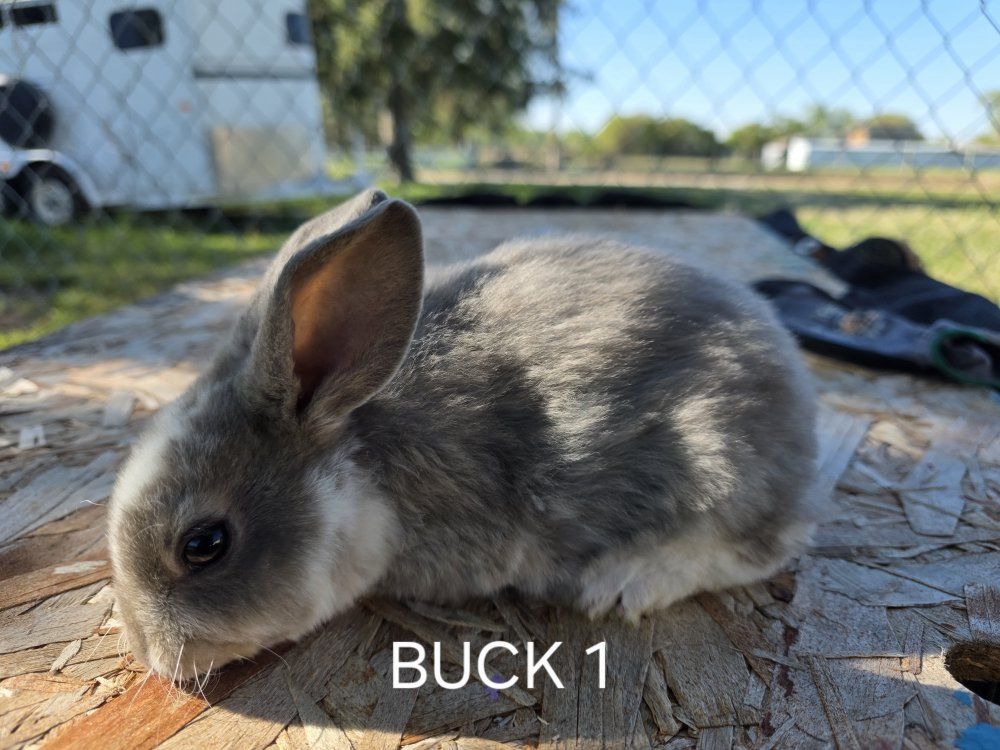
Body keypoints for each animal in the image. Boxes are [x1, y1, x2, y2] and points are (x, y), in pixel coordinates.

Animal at [108, 189, 818, 680]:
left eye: (204, 544)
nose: (149, 653)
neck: (364, 450)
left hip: (717, 457)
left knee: (759, 547)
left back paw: (625, 581)